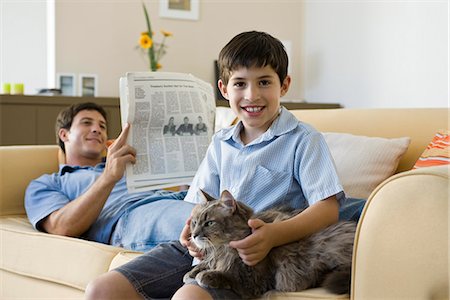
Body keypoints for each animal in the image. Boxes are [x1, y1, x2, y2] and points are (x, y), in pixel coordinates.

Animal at [182, 190, 356, 298]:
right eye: (194, 223)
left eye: (209, 223)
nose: (194, 235)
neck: (222, 248)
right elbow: (203, 264)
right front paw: (192, 272)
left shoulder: (253, 280)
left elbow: (226, 276)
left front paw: (204, 275)